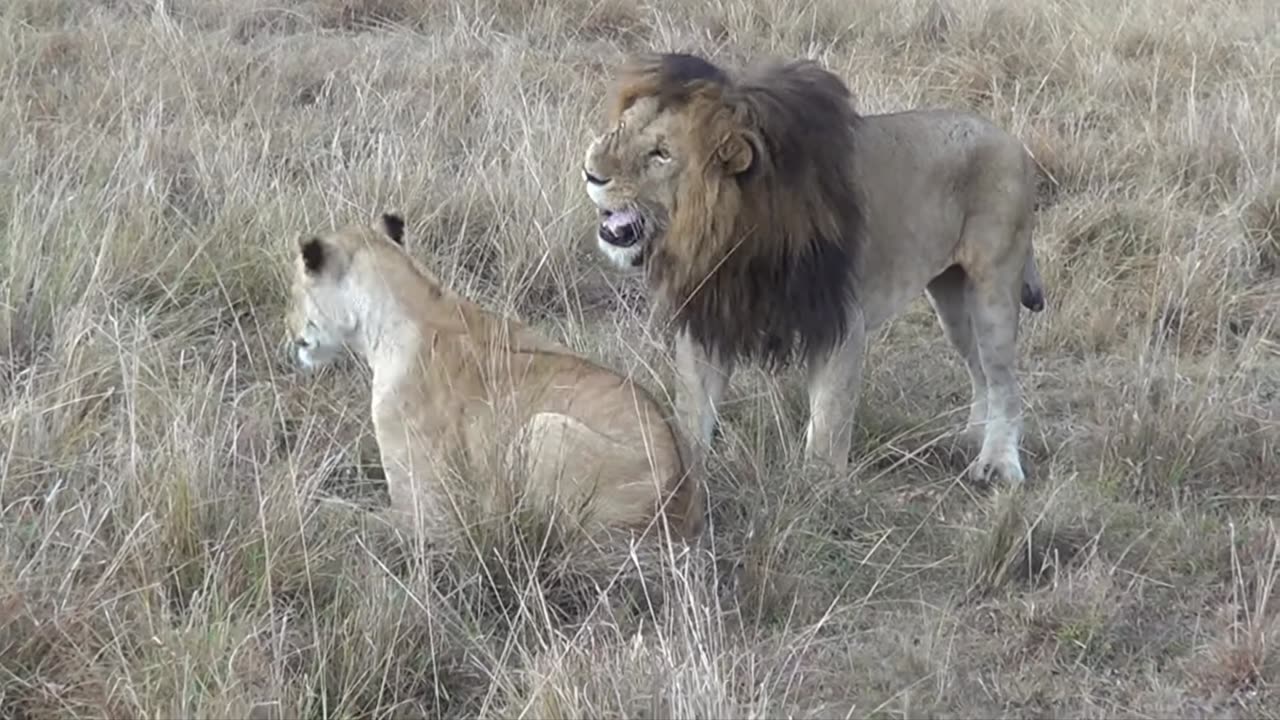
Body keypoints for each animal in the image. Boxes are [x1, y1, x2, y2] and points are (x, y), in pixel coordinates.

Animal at [286, 212, 706, 538]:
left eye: (294, 290)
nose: (287, 328)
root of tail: (683, 504)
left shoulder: (427, 514)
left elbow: (343, 515)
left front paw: (307, 502)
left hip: (545, 428)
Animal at [586, 53, 1044, 484]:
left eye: (661, 154)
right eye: (620, 128)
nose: (590, 173)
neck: (730, 233)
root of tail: (1011, 140)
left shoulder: (840, 322)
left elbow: (828, 425)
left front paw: (820, 490)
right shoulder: (711, 316)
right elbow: (692, 412)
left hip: (992, 289)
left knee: (1005, 382)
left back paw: (997, 464)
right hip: (952, 300)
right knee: (980, 372)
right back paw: (968, 439)